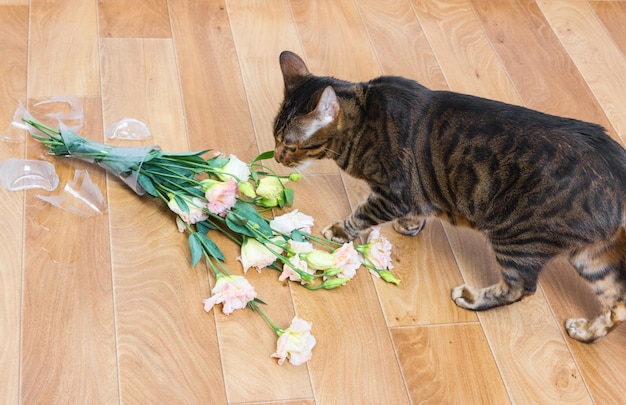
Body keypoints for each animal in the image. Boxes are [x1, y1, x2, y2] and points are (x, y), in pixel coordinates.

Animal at [272, 49, 624, 340]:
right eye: (275, 137)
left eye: (290, 145)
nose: (275, 157)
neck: (362, 120)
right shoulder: (416, 192)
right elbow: (419, 208)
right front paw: (410, 225)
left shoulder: (395, 192)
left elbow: (361, 214)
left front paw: (340, 231)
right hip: (591, 257)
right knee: (617, 305)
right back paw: (586, 331)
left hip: (518, 237)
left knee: (522, 287)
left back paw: (472, 298)